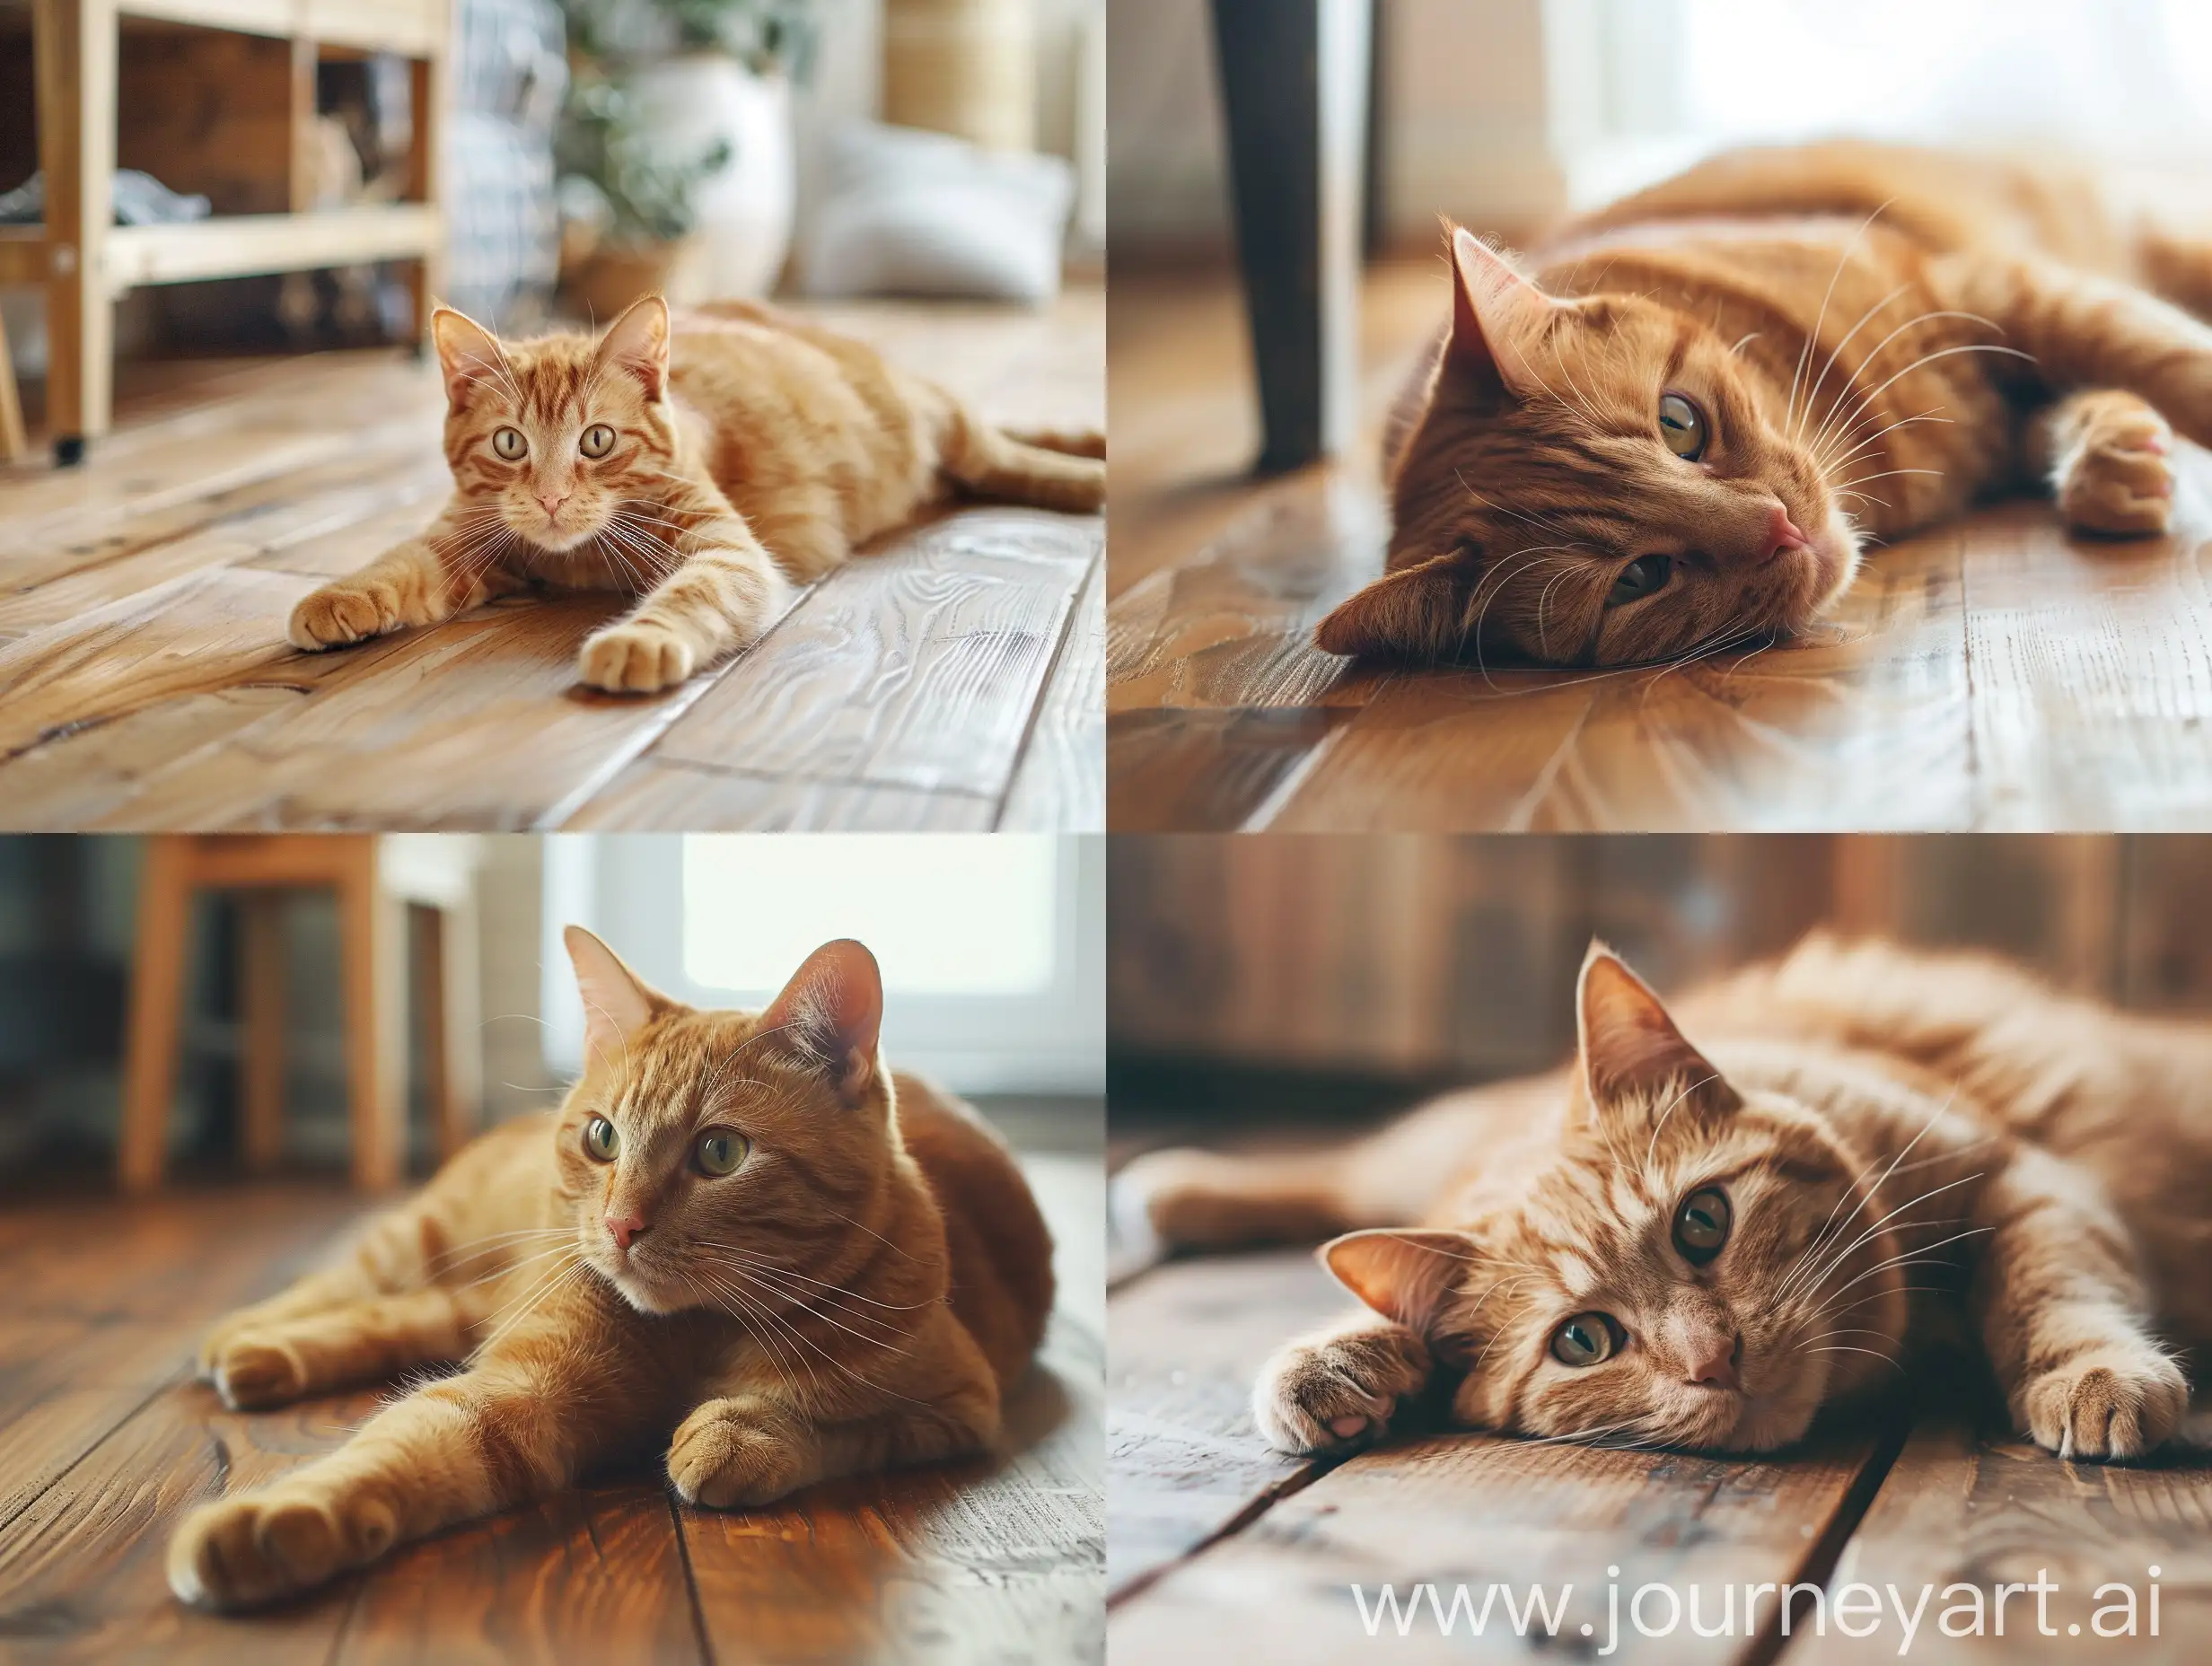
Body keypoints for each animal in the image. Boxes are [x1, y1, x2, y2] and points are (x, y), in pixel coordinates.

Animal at [168, 929, 1048, 1601]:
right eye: (602, 1138)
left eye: (720, 1153)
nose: (622, 1225)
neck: (690, 1332)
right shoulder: (516, 1389)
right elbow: (403, 1442)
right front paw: (277, 1522)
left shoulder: (957, 1407)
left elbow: (837, 1424)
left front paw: (741, 1433)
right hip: (433, 1239)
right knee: (354, 1282)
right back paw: (242, 1337)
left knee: (407, 1318)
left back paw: (265, 1360)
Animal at [285, 292, 1106, 690]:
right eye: (510, 444)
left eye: (597, 442)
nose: (550, 500)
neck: (575, 556)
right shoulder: (466, 538)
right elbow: (399, 562)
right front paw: (337, 598)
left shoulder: (728, 552)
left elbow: (693, 593)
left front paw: (640, 641)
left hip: (939, 421)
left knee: (1004, 453)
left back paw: (1087, 475)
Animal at [1123, 943, 2212, 1460]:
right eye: (1584, 1339)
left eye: (1702, 1221)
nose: (1713, 1358)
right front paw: (1339, 1359)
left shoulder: (2025, 1174)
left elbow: (2044, 1289)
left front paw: (2090, 1370)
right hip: (1417, 1160)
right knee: (1343, 1172)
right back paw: (1172, 1186)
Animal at [1318, 138, 2212, 668]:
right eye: (1639, 579)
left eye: (1680, 423)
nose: (1781, 528)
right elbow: (2083, 391)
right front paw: (2114, 459)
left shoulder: (1983, 287)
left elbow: (2151, 347)